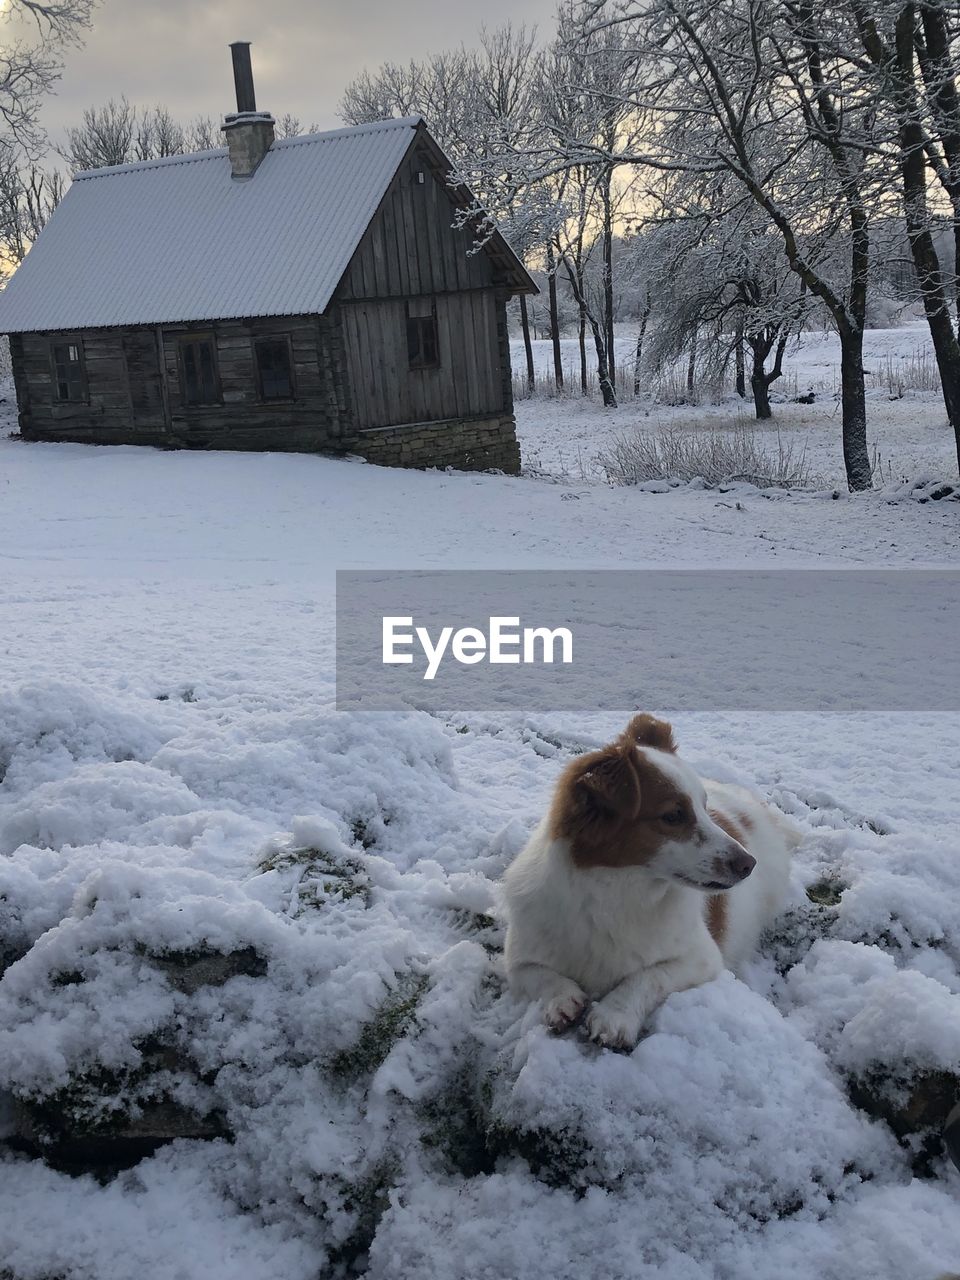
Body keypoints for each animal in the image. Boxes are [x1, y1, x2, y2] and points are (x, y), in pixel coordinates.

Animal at [504, 711, 798, 1049]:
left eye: (704, 808)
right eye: (672, 816)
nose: (748, 864)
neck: (617, 894)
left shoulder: (701, 959)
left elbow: (648, 976)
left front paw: (615, 1014)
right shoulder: (517, 960)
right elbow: (543, 977)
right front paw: (561, 999)